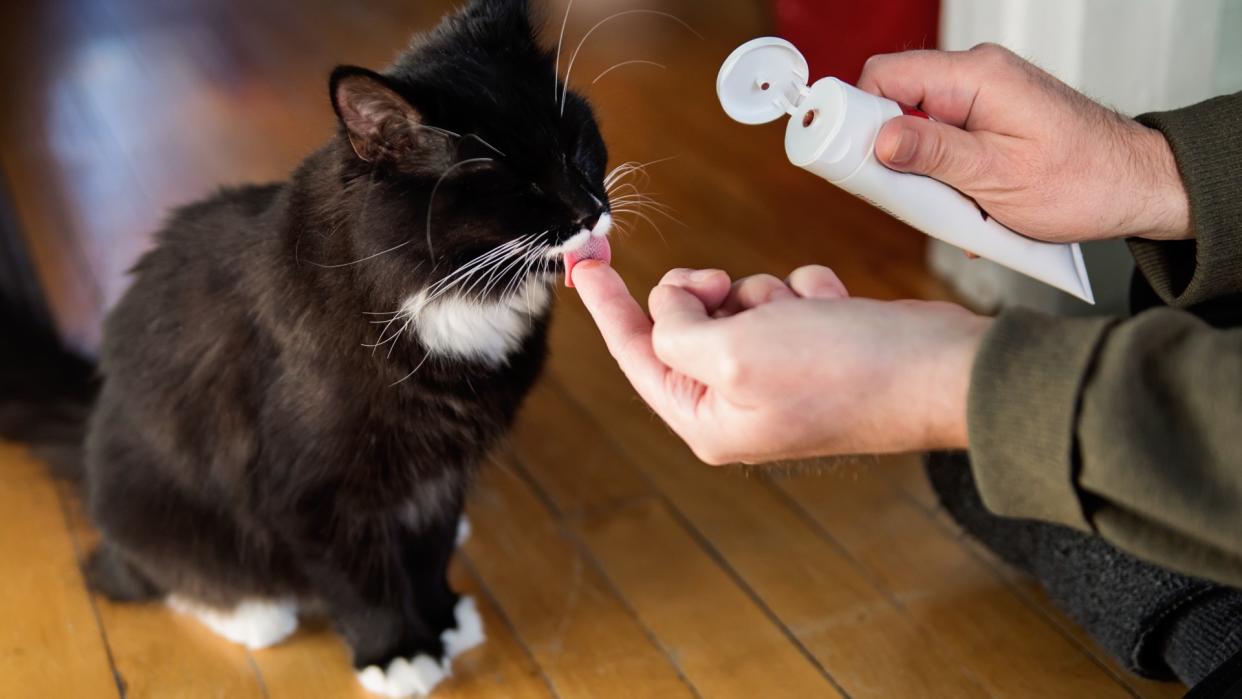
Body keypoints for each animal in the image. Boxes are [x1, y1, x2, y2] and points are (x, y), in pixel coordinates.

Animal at [80, 2, 613, 695]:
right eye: (514, 185)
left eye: (576, 146)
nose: (590, 208)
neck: (448, 294)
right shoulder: (311, 490)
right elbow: (361, 582)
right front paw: (399, 652)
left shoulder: (443, 466)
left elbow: (429, 546)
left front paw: (442, 617)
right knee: (141, 573)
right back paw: (252, 612)